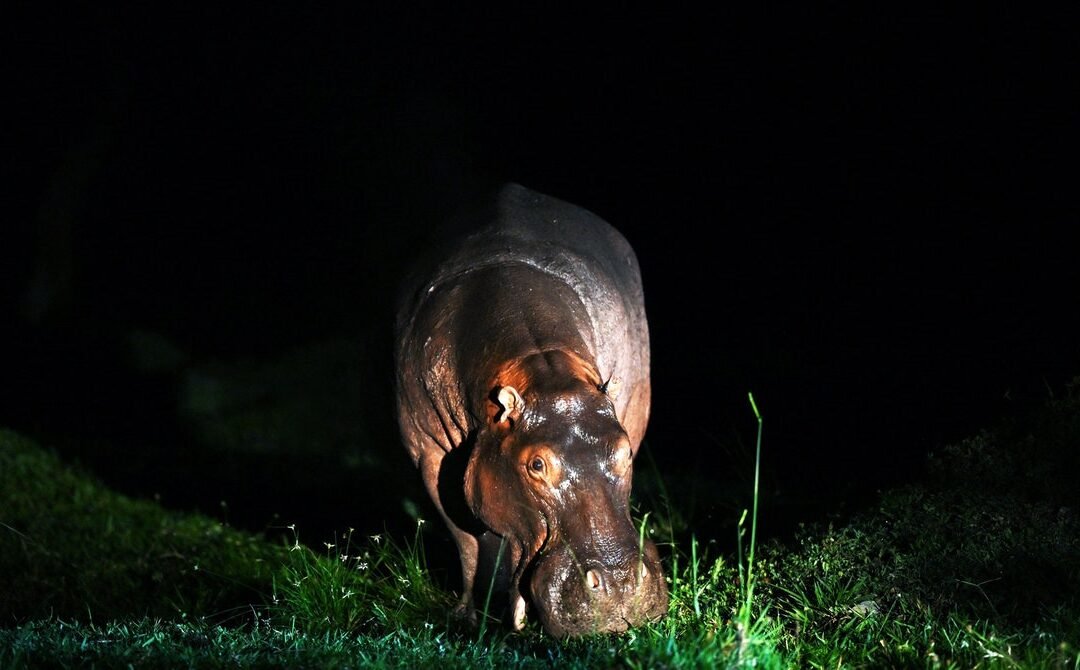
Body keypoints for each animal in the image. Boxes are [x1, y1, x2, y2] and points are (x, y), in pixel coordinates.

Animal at [397, 183, 665, 639]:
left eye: (626, 451)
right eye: (536, 465)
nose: (619, 587)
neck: (542, 368)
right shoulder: (430, 455)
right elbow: (466, 540)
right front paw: (468, 617)